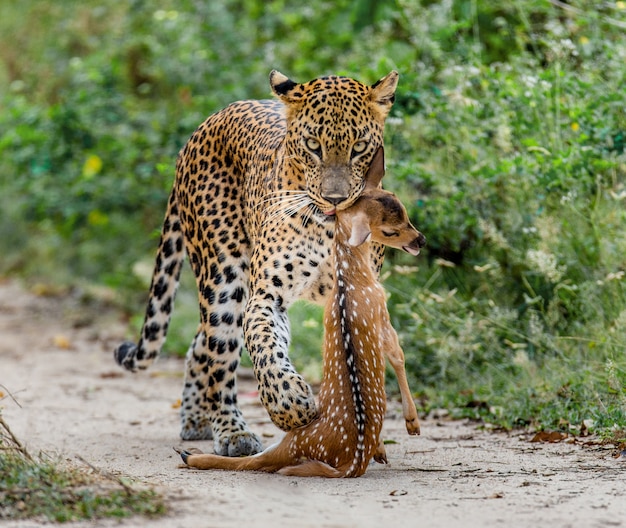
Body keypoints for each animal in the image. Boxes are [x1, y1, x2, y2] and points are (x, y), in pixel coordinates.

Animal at [114, 70, 398, 458]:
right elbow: (266, 348)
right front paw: (292, 407)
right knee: (218, 353)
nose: (335, 199)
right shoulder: (267, 296)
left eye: (359, 147)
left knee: (199, 343)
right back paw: (232, 433)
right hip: (222, 278)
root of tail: (201, 128)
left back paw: (195, 420)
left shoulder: (356, 298)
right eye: (313, 145)